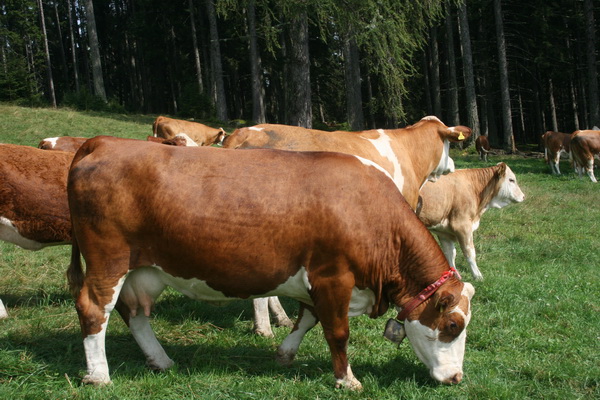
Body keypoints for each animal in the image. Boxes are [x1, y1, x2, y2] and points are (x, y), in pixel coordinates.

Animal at [67, 137, 478, 388]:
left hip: (143, 269)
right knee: (94, 309)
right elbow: (337, 331)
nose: (456, 378)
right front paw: (346, 379)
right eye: (453, 325)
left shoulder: (317, 281)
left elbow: (307, 319)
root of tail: (103, 142)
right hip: (108, 260)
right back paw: (99, 375)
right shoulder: (333, 277)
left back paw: (160, 360)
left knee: (134, 313)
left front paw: (285, 352)